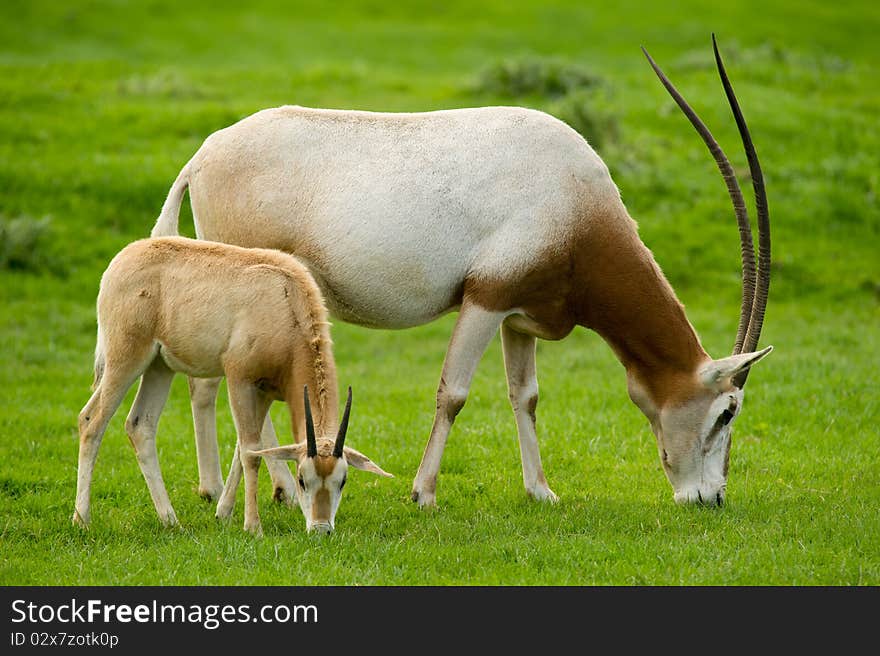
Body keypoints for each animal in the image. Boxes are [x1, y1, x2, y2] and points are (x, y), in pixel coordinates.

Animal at [74, 238, 390, 536]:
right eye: (303, 479)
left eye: (342, 481)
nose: (321, 529)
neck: (286, 299)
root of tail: (123, 259)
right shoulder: (240, 379)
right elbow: (250, 451)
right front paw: (253, 527)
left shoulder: (265, 391)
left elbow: (245, 448)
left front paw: (223, 513)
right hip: (126, 360)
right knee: (92, 421)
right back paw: (82, 519)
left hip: (159, 367)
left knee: (140, 425)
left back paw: (171, 521)